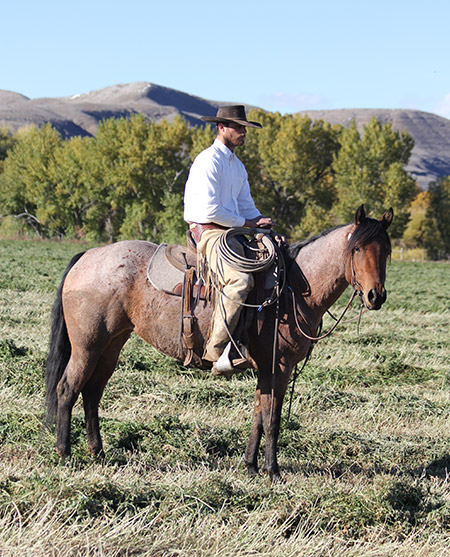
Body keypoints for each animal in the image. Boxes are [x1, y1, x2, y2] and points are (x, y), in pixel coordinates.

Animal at [44, 205, 392, 478]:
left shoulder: (268, 369)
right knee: (68, 388)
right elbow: (272, 418)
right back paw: (65, 452)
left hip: (111, 345)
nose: (375, 296)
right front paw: (273, 471)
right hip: (87, 345)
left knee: (92, 393)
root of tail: (88, 255)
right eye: (357, 249)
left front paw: (251, 465)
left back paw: (98, 452)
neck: (292, 288)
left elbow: (258, 414)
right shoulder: (277, 366)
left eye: (386, 251)